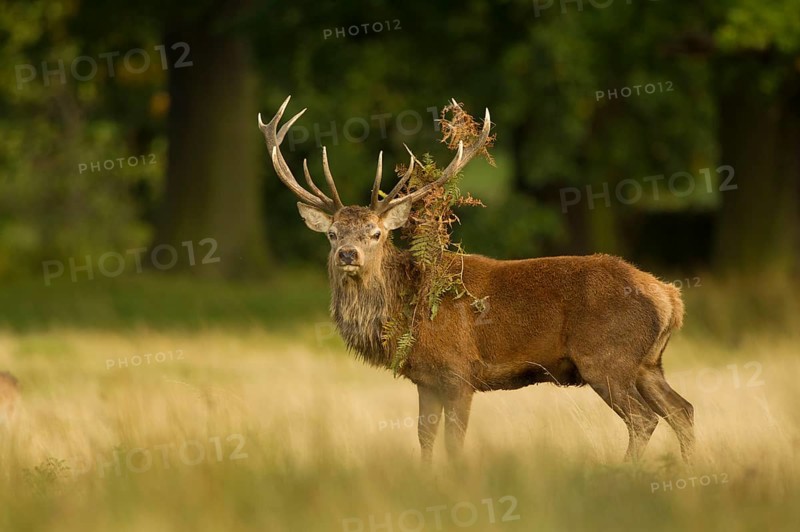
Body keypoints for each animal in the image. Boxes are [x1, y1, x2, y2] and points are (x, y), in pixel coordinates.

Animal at [258, 96, 695, 463]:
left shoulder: (459, 371)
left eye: (376, 233)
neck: (407, 310)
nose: (348, 254)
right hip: (648, 363)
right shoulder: (426, 379)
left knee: (645, 419)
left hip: (606, 357)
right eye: (332, 234)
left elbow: (454, 442)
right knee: (683, 411)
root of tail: (669, 297)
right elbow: (425, 438)